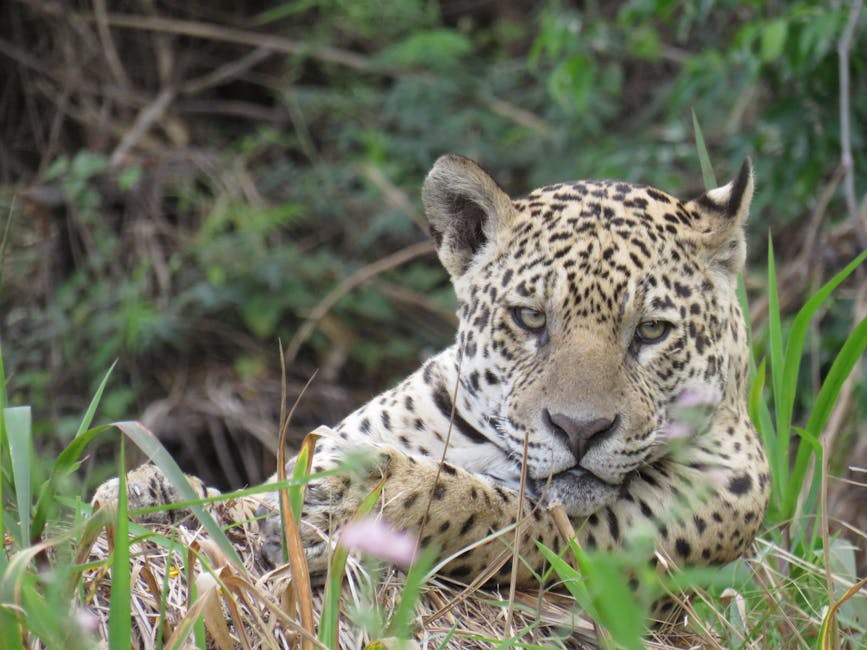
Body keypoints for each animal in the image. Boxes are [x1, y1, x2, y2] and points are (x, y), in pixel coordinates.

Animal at [94, 154, 771, 595]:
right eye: (530, 318)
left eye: (652, 331)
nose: (579, 430)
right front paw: (151, 492)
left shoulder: (638, 531)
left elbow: (495, 510)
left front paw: (355, 495)